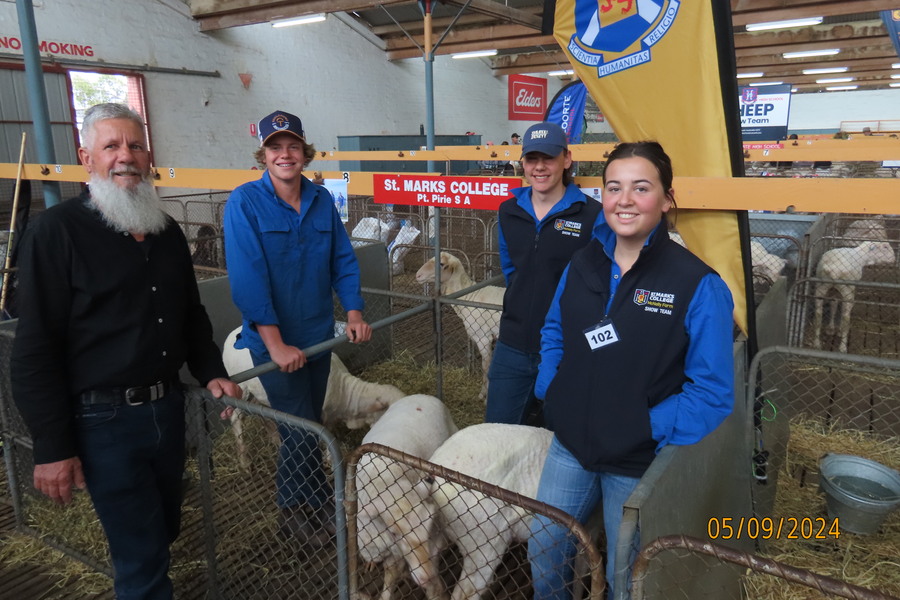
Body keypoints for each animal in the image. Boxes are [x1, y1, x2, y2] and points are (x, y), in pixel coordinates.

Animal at [223, 326, 406, 472]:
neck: (344, 391)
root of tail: (230, 336)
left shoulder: (330, 415)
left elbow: (330, 434)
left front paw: (329, 458)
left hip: (257, 395)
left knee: (261, 414)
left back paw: (275, 440)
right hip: (241, 390)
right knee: (236, 417)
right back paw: (245, 461)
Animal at [356, 394, 458, 600]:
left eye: (429, 524)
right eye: (395, 532)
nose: (426, 576)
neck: (385, 480)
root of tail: (423, 395)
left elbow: (393, 574)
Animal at [414, 251, 506, 400]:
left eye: (441, 263)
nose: (418, 275)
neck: (468, 297)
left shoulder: (483, 337)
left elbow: (485, 367)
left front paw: (483, 395)